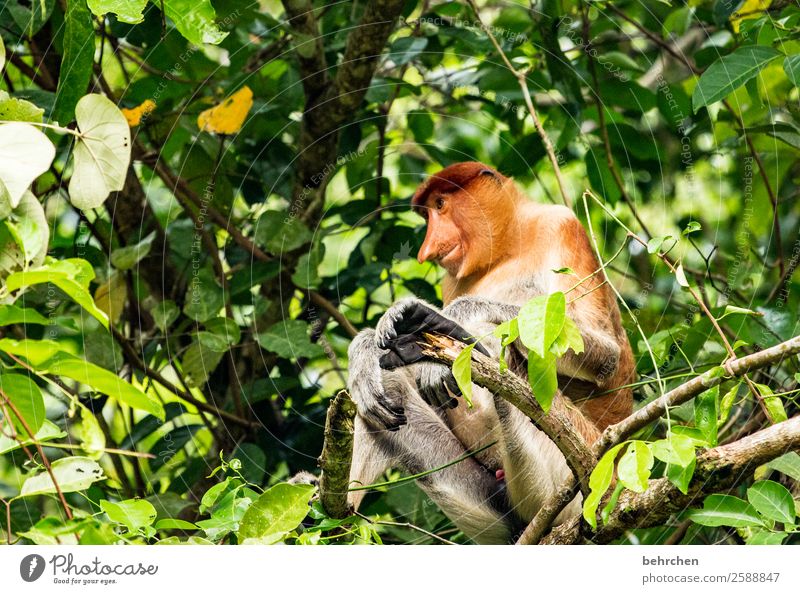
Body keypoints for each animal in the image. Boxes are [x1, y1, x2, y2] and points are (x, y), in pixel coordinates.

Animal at [346, 161, 636, 540]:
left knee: (504, 349)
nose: (426, 250)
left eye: (440, 205)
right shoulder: (453, 278)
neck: (508, 248)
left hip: (580, 473)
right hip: (488, 496)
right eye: (428, 213)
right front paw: (371, 345)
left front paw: (447, 319)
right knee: (390, 386)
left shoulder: (561, 226)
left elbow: (606, 354)